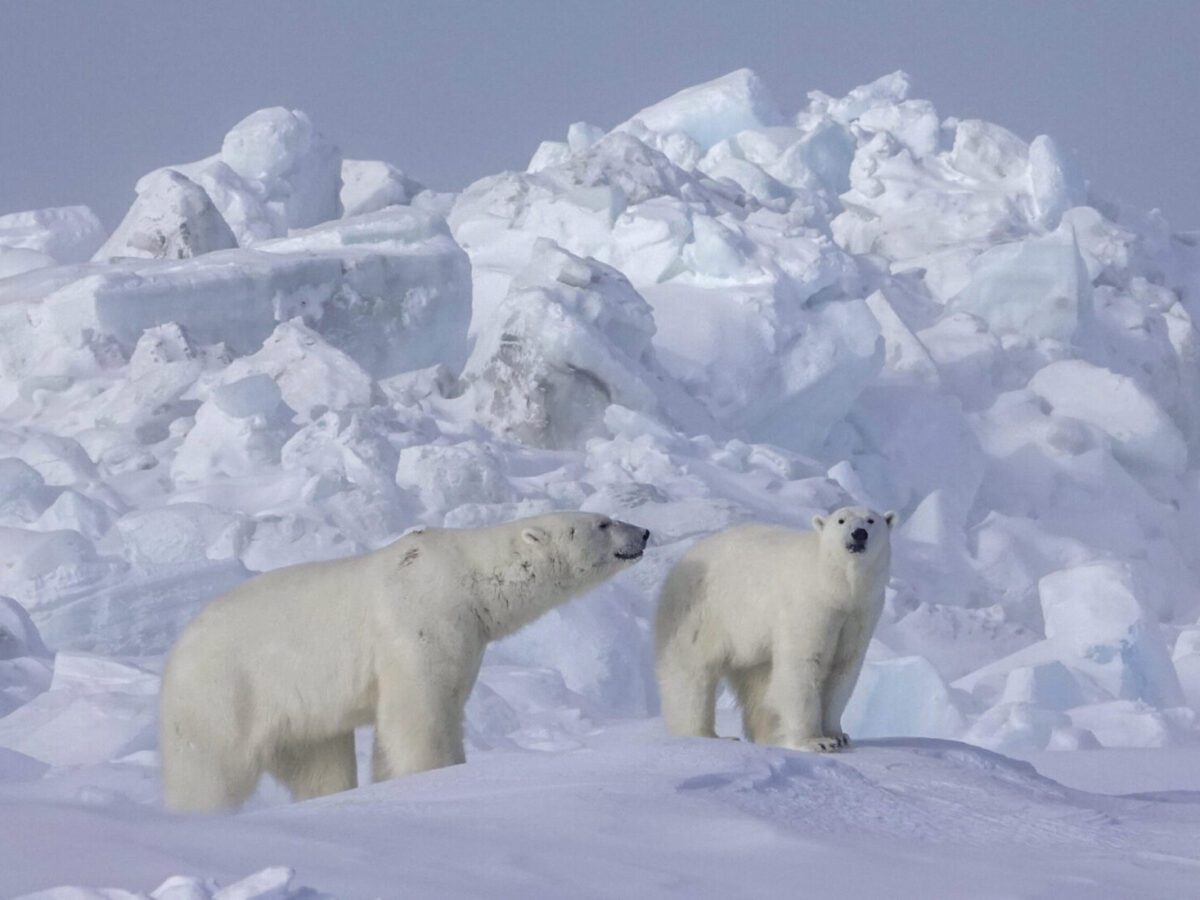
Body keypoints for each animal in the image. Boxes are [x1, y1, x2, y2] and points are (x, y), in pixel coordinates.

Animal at [160, 512, 650, 812]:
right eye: (602, 522)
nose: (644, 532)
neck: (468, 577)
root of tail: (178, 649)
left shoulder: (466, 636)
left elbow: (445, 702)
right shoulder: (419, 619)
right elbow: (418, 712)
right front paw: (430, 779)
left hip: (299, 713)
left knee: (320, 762)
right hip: (225, 691)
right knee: (206, 770)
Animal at [655, 506, 895, 752]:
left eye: (871, 520)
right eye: (841, 520)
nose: (859, 534)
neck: (835, 587)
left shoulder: (861, 613)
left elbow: (843, 668)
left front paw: (838, 735)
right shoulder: (809, 605)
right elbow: (804, 664)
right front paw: (816, 741)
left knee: (758, 685)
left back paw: (769, 735)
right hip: (701, 614)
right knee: (690, 674)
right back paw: (705, 735)